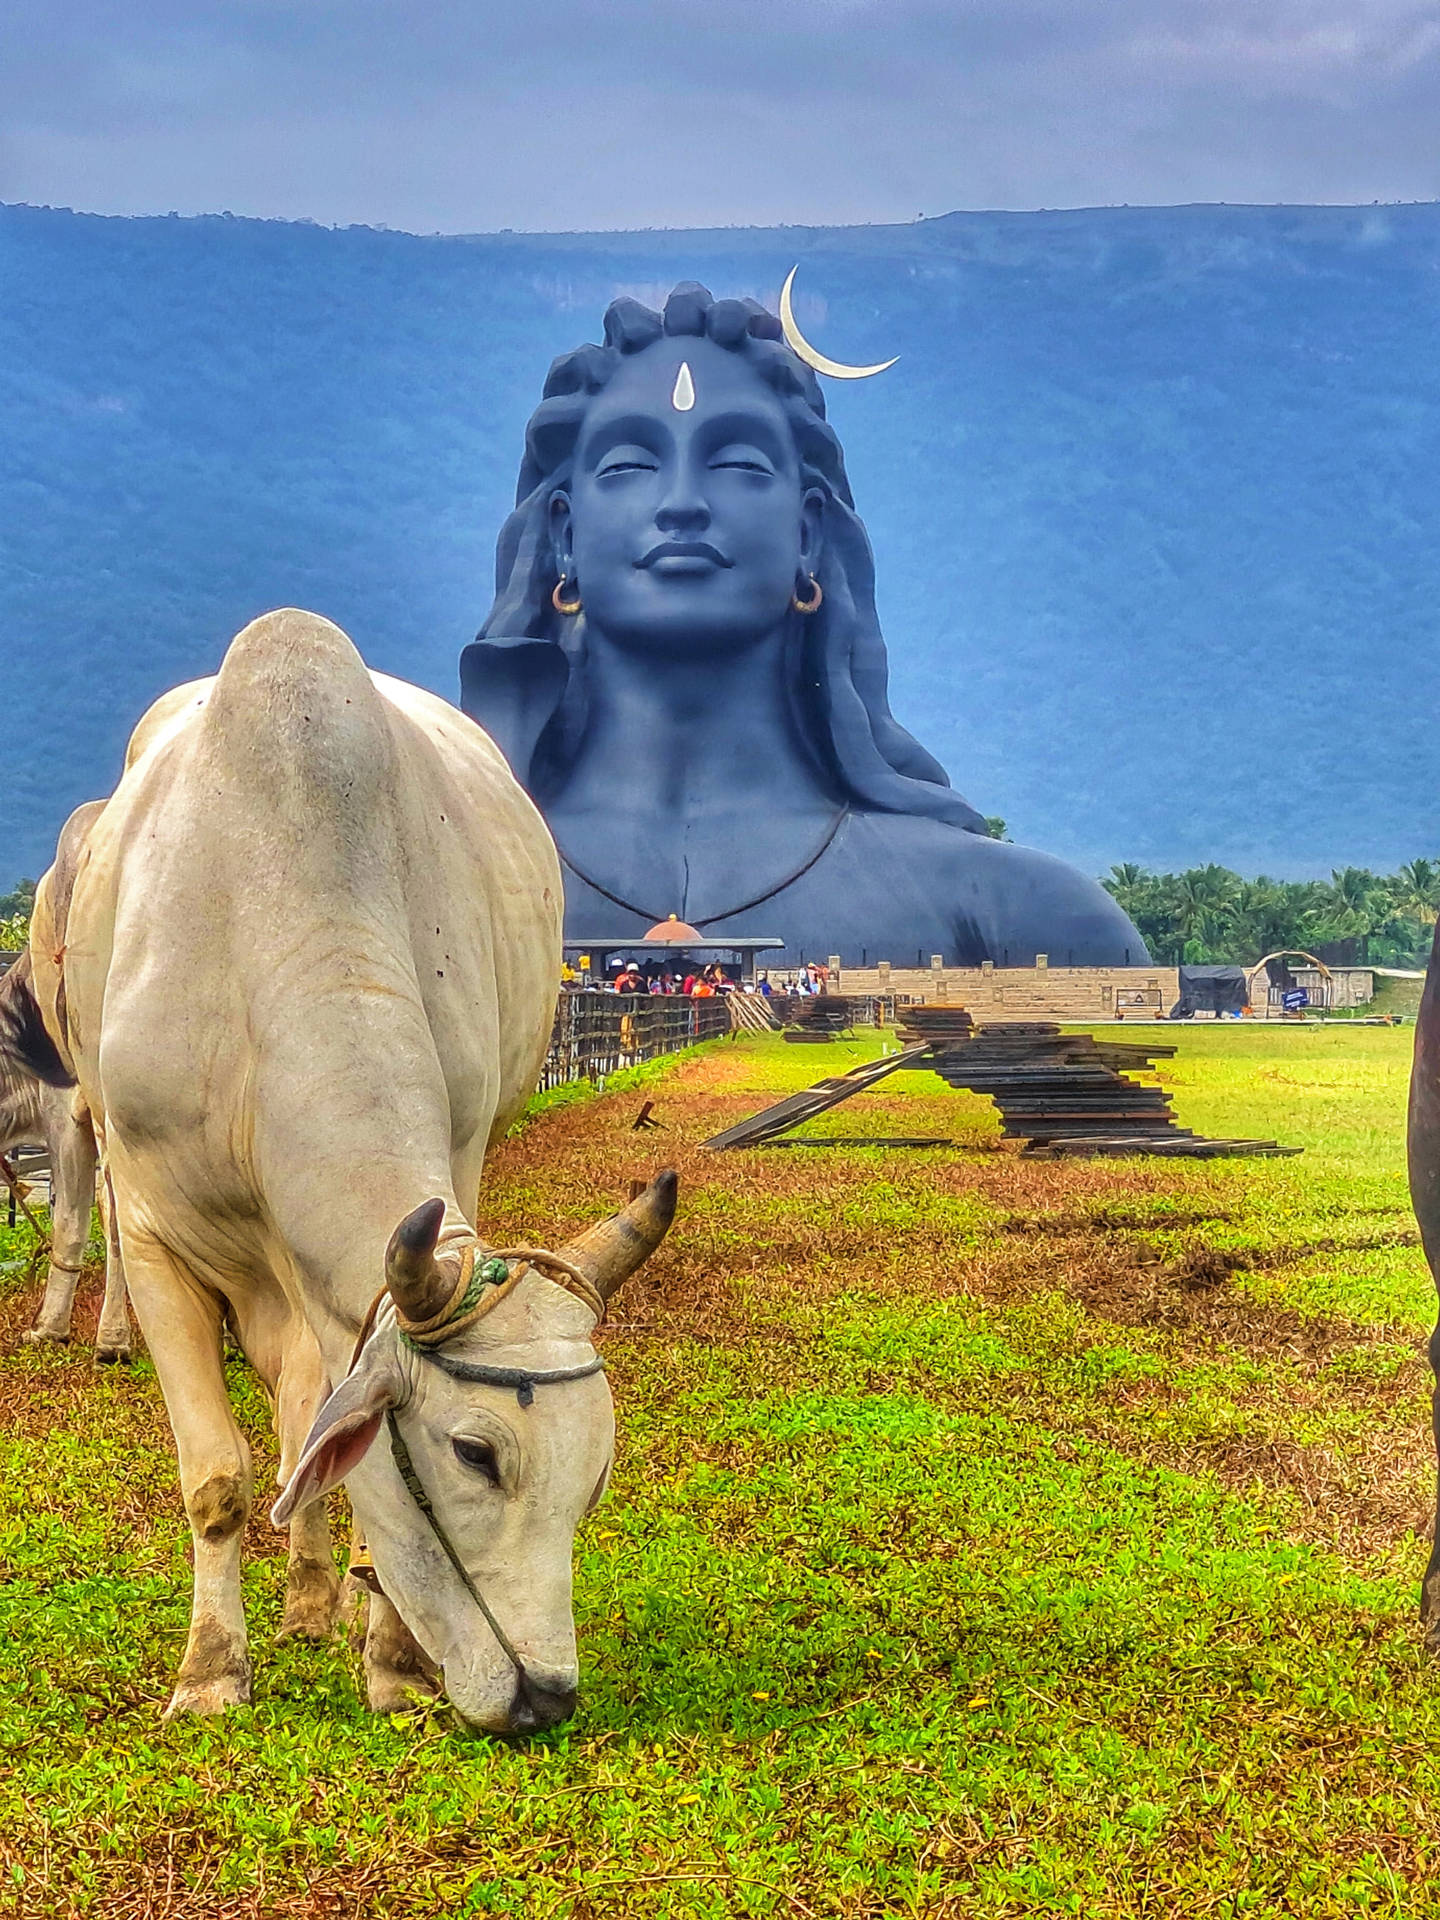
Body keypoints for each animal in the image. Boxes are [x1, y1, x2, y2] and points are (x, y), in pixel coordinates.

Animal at [33, 610, 675, 1728]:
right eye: (474, 1455)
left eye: (594, 1474)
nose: (547, 1697)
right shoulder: (155, 1233)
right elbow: (218, 1475)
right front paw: (211, 1673)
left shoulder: (432, 1185)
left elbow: (325, 1428)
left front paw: (391, 1660)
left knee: (302, 1407)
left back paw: (313, 1599)